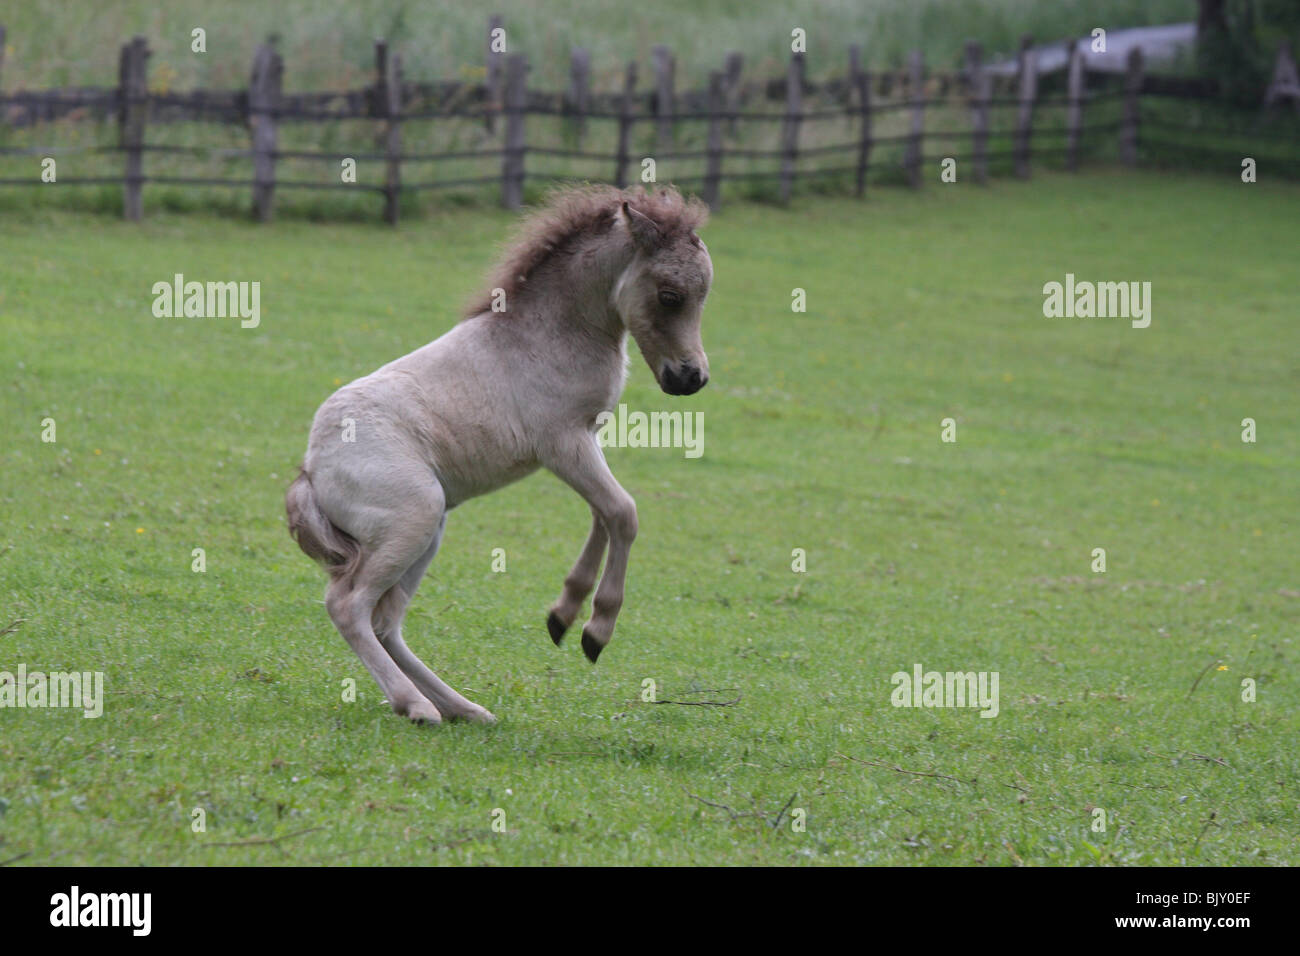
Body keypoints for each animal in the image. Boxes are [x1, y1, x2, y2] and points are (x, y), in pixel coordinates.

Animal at [285, 184, 714, 725]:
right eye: (670, 295)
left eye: (704, 295)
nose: (691, 378)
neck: (550, 332)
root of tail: (310, 471)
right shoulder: (562, 443)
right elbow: (622, 512)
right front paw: (595, 629)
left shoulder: (588, 439)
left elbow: (603, 515)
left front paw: (563, 615)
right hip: (413, 520)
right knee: (348, 605)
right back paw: (416, 705)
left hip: (428, 531)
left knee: (386, 621)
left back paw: (462, 707)